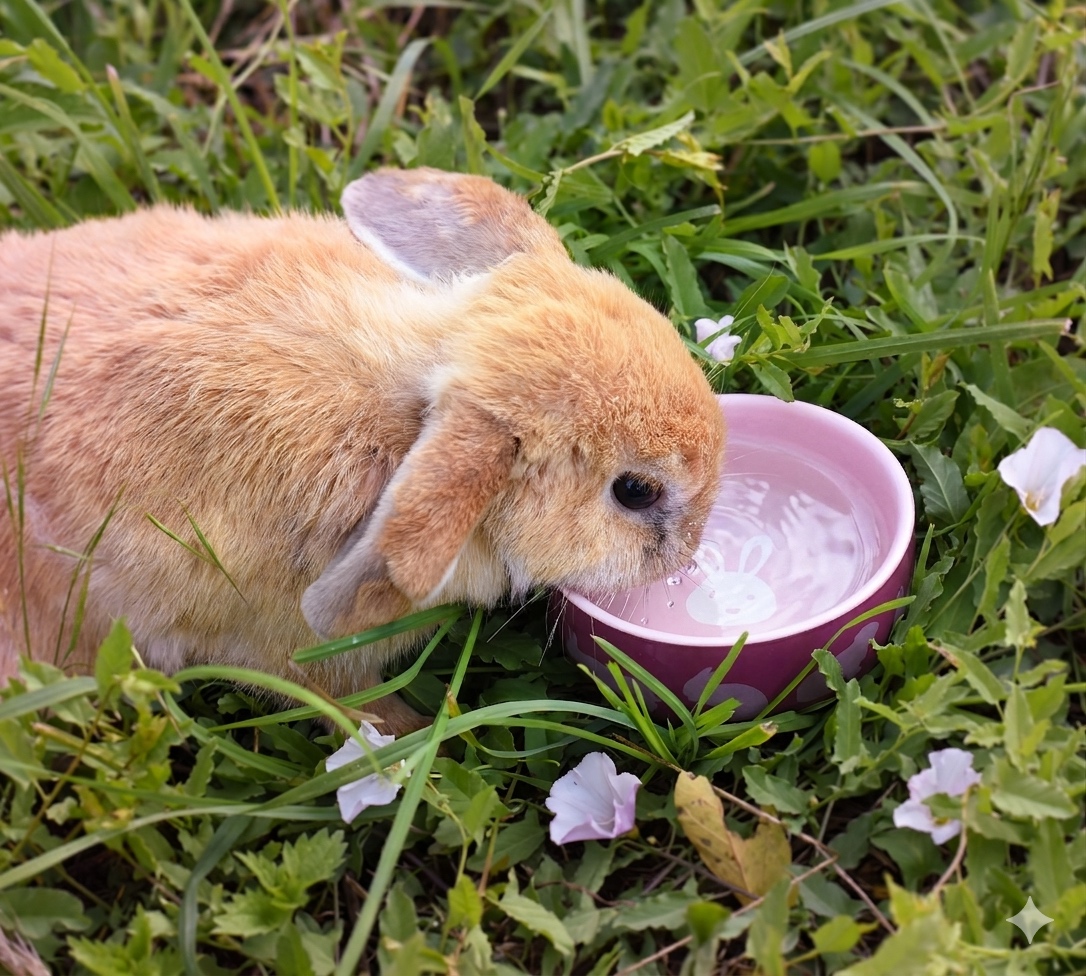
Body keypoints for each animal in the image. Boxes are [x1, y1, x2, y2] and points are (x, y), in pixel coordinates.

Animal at [0, 166, 726, 734]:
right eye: (634, 491)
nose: (689, 554)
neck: (411, 406)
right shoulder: (297, 651)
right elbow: (337, 695)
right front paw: (413, 734)